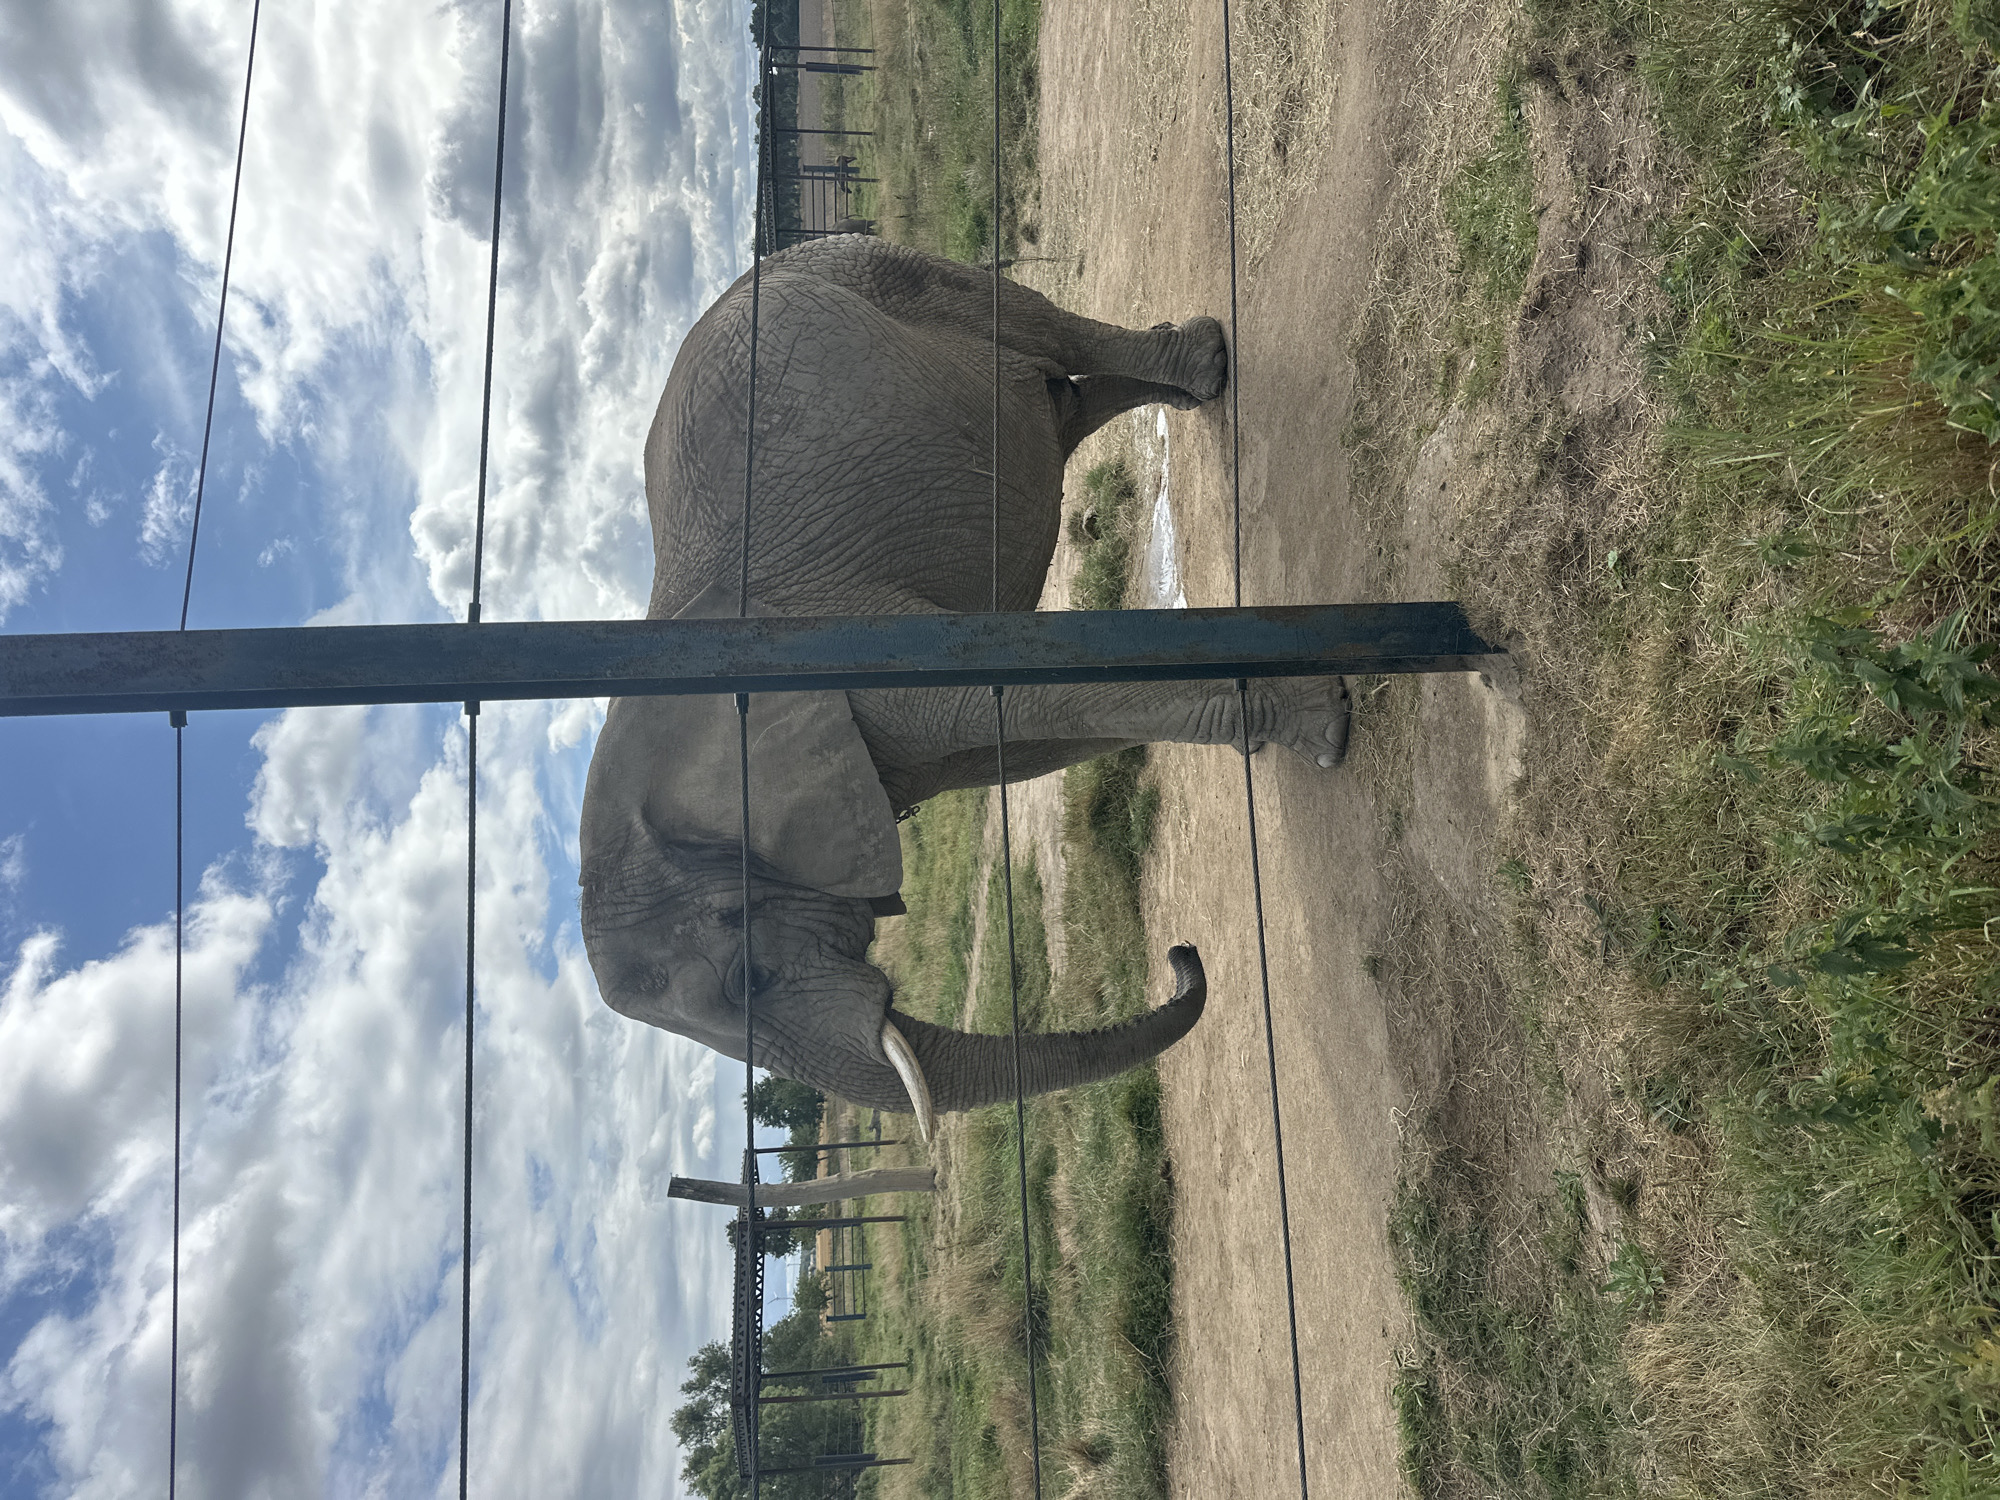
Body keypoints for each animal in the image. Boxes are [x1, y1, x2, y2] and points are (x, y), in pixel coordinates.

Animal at [579, 236, 1349, 1139]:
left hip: (884, 269)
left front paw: (1325, 729)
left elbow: (1024, 693)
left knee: (1030, 324)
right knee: (1054, 404)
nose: (1185, 955)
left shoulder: (848, 642)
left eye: (749, 970)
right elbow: (1016, 739)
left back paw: (1204, 368)